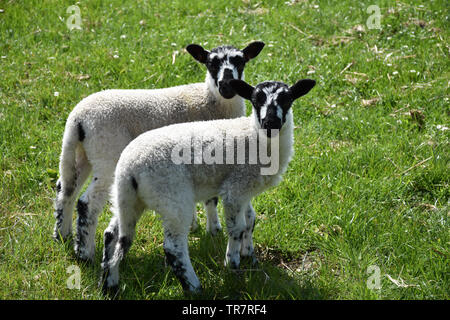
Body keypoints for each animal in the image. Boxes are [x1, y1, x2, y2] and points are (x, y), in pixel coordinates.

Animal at [53, 41, 266, 262]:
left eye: (240, 61)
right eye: (211, 64)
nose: (226, 86)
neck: (210, 101)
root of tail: (78, 119)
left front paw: (197, 225)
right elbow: (211, 199)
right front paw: (213, 229)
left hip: (81, 153)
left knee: (65, 189)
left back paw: (63, 235)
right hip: (107, 154)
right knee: (86, 202)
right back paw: (85, 253)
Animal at [99, 77, 316, 292]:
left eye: (287, 99)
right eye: (256, 100)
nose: (270, 123)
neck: (255, 138)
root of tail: (129, 167)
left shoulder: (244, 188)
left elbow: (250, 220)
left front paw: (249, 255)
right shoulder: (235, 188)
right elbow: (237, 228)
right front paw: (233, 265)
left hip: (127, 198)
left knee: (114, 235)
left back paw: (109, 283)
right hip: (172, 196)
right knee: (173, 247)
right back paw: (194, 287)